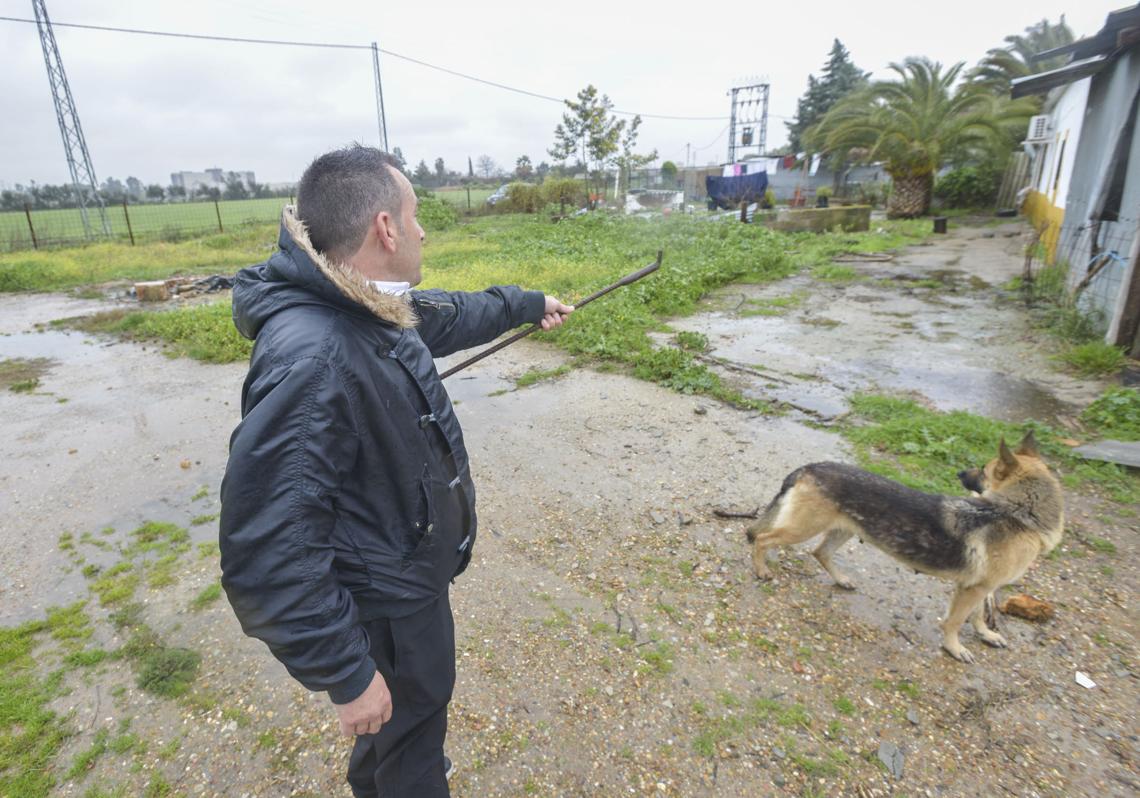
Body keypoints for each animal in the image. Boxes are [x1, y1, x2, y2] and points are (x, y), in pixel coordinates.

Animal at [743, 433, 1062, 665]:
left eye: (983, 469)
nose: (960, 473)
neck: (1017, 513)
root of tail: (808, 467)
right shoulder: (972, 589)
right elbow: (955, 621)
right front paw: (954, 648)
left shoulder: (982, 587)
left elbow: (978, 615)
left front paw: (986, 634)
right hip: (804, 528)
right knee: (762, 538)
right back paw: (761, 569)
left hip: (844, 529)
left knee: (819, 552)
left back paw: (841, 579)